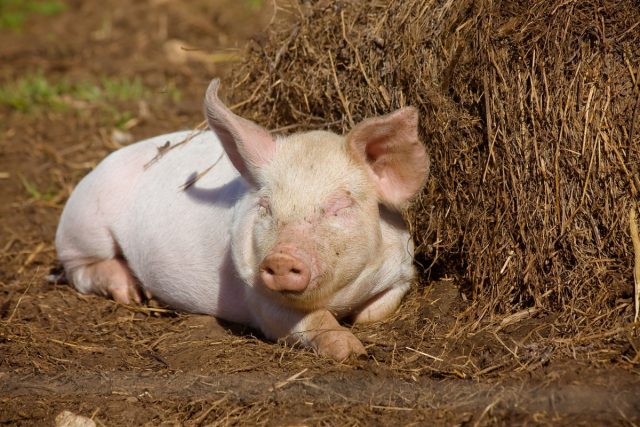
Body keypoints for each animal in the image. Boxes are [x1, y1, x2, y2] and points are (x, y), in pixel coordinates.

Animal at [52, 79, 428, 362]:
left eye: (339, 206)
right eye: (265, 206)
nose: (282, 257)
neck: (335, 298)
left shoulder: (402, 268)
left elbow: (379, 309)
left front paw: (360, 333)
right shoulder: (259, 299)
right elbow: (308, 320)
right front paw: (351, 351)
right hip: (84, 225)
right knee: (80, 270)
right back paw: (133, 294)